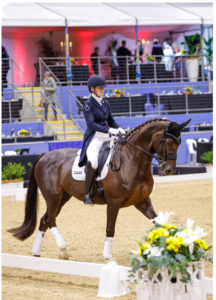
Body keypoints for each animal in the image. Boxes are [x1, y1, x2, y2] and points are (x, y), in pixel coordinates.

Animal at [8, 118, 190, 262]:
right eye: (168, 142)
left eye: (179, 143)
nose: (169, 170)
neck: (132, 161)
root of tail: (44, 155)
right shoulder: (113, 203)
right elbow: (110, 228)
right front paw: (107, 256)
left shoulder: (142, 202)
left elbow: (158, 223)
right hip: (53, 197)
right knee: (51, 219)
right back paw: (63, 250)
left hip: (63, 198)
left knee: (44, 220)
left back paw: (36, 253)